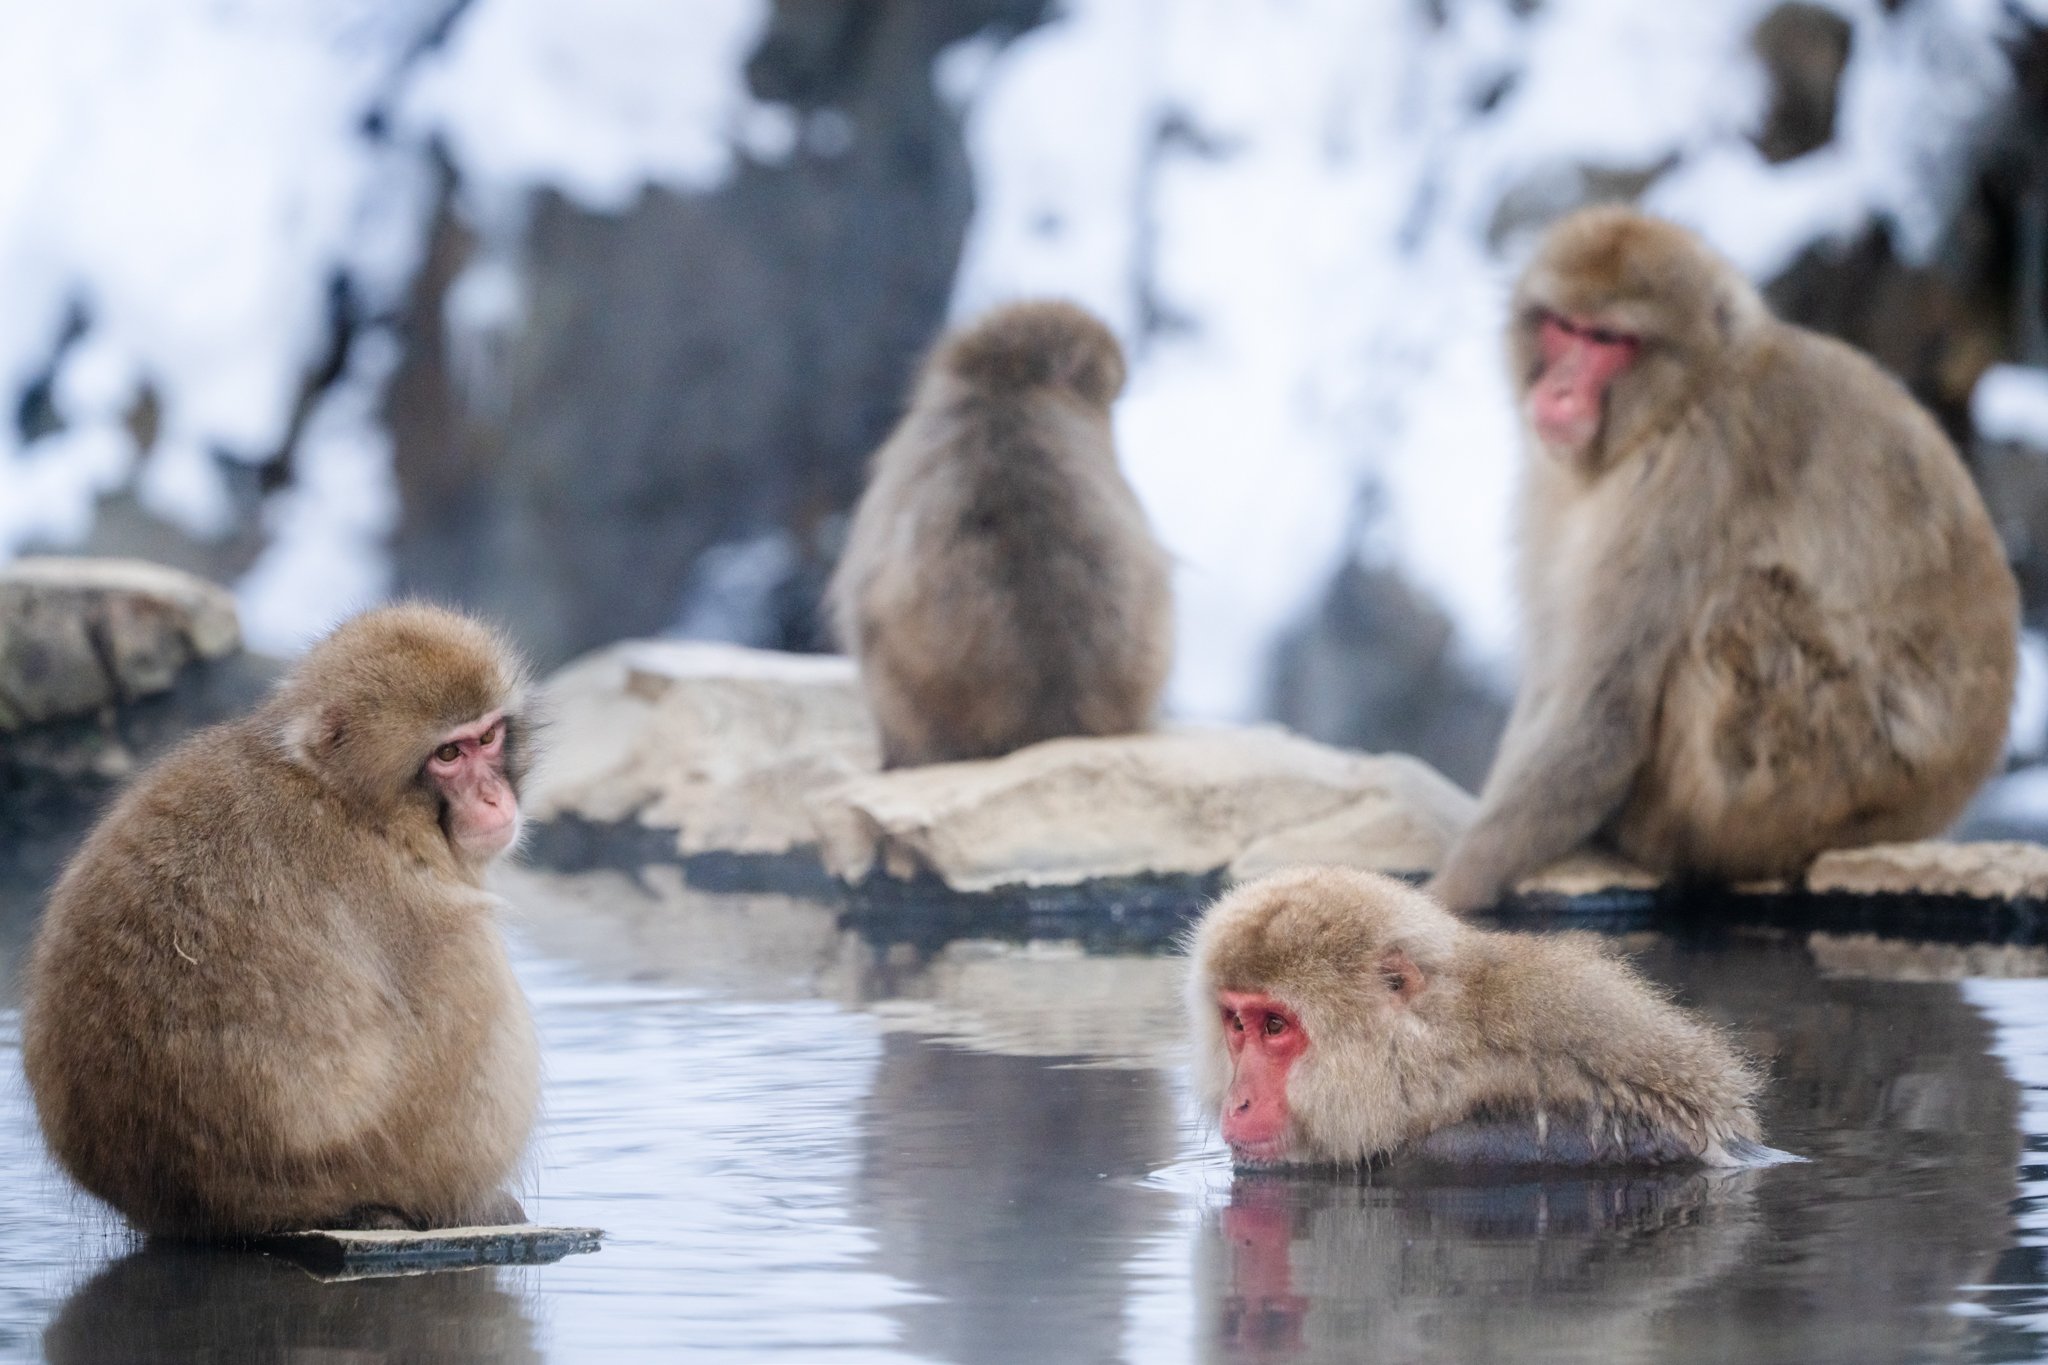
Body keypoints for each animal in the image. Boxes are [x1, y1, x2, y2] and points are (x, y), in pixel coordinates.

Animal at [21, 603, 542, 1239]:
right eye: (448, 755)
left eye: (488, 737)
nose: (494, 799)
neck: (353, 801)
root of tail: (207, 1211)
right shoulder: (419, 913)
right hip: (375, 1153)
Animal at [1429, 206, 2018, 912]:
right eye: (1564, 328)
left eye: (1608, 339)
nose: (1561, 390)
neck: (1681, 399)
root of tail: (1942, 802)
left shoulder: (1690, 476)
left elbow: (1602, 713)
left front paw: (1448, 891)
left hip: (1826, 773)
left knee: (1739, 609)